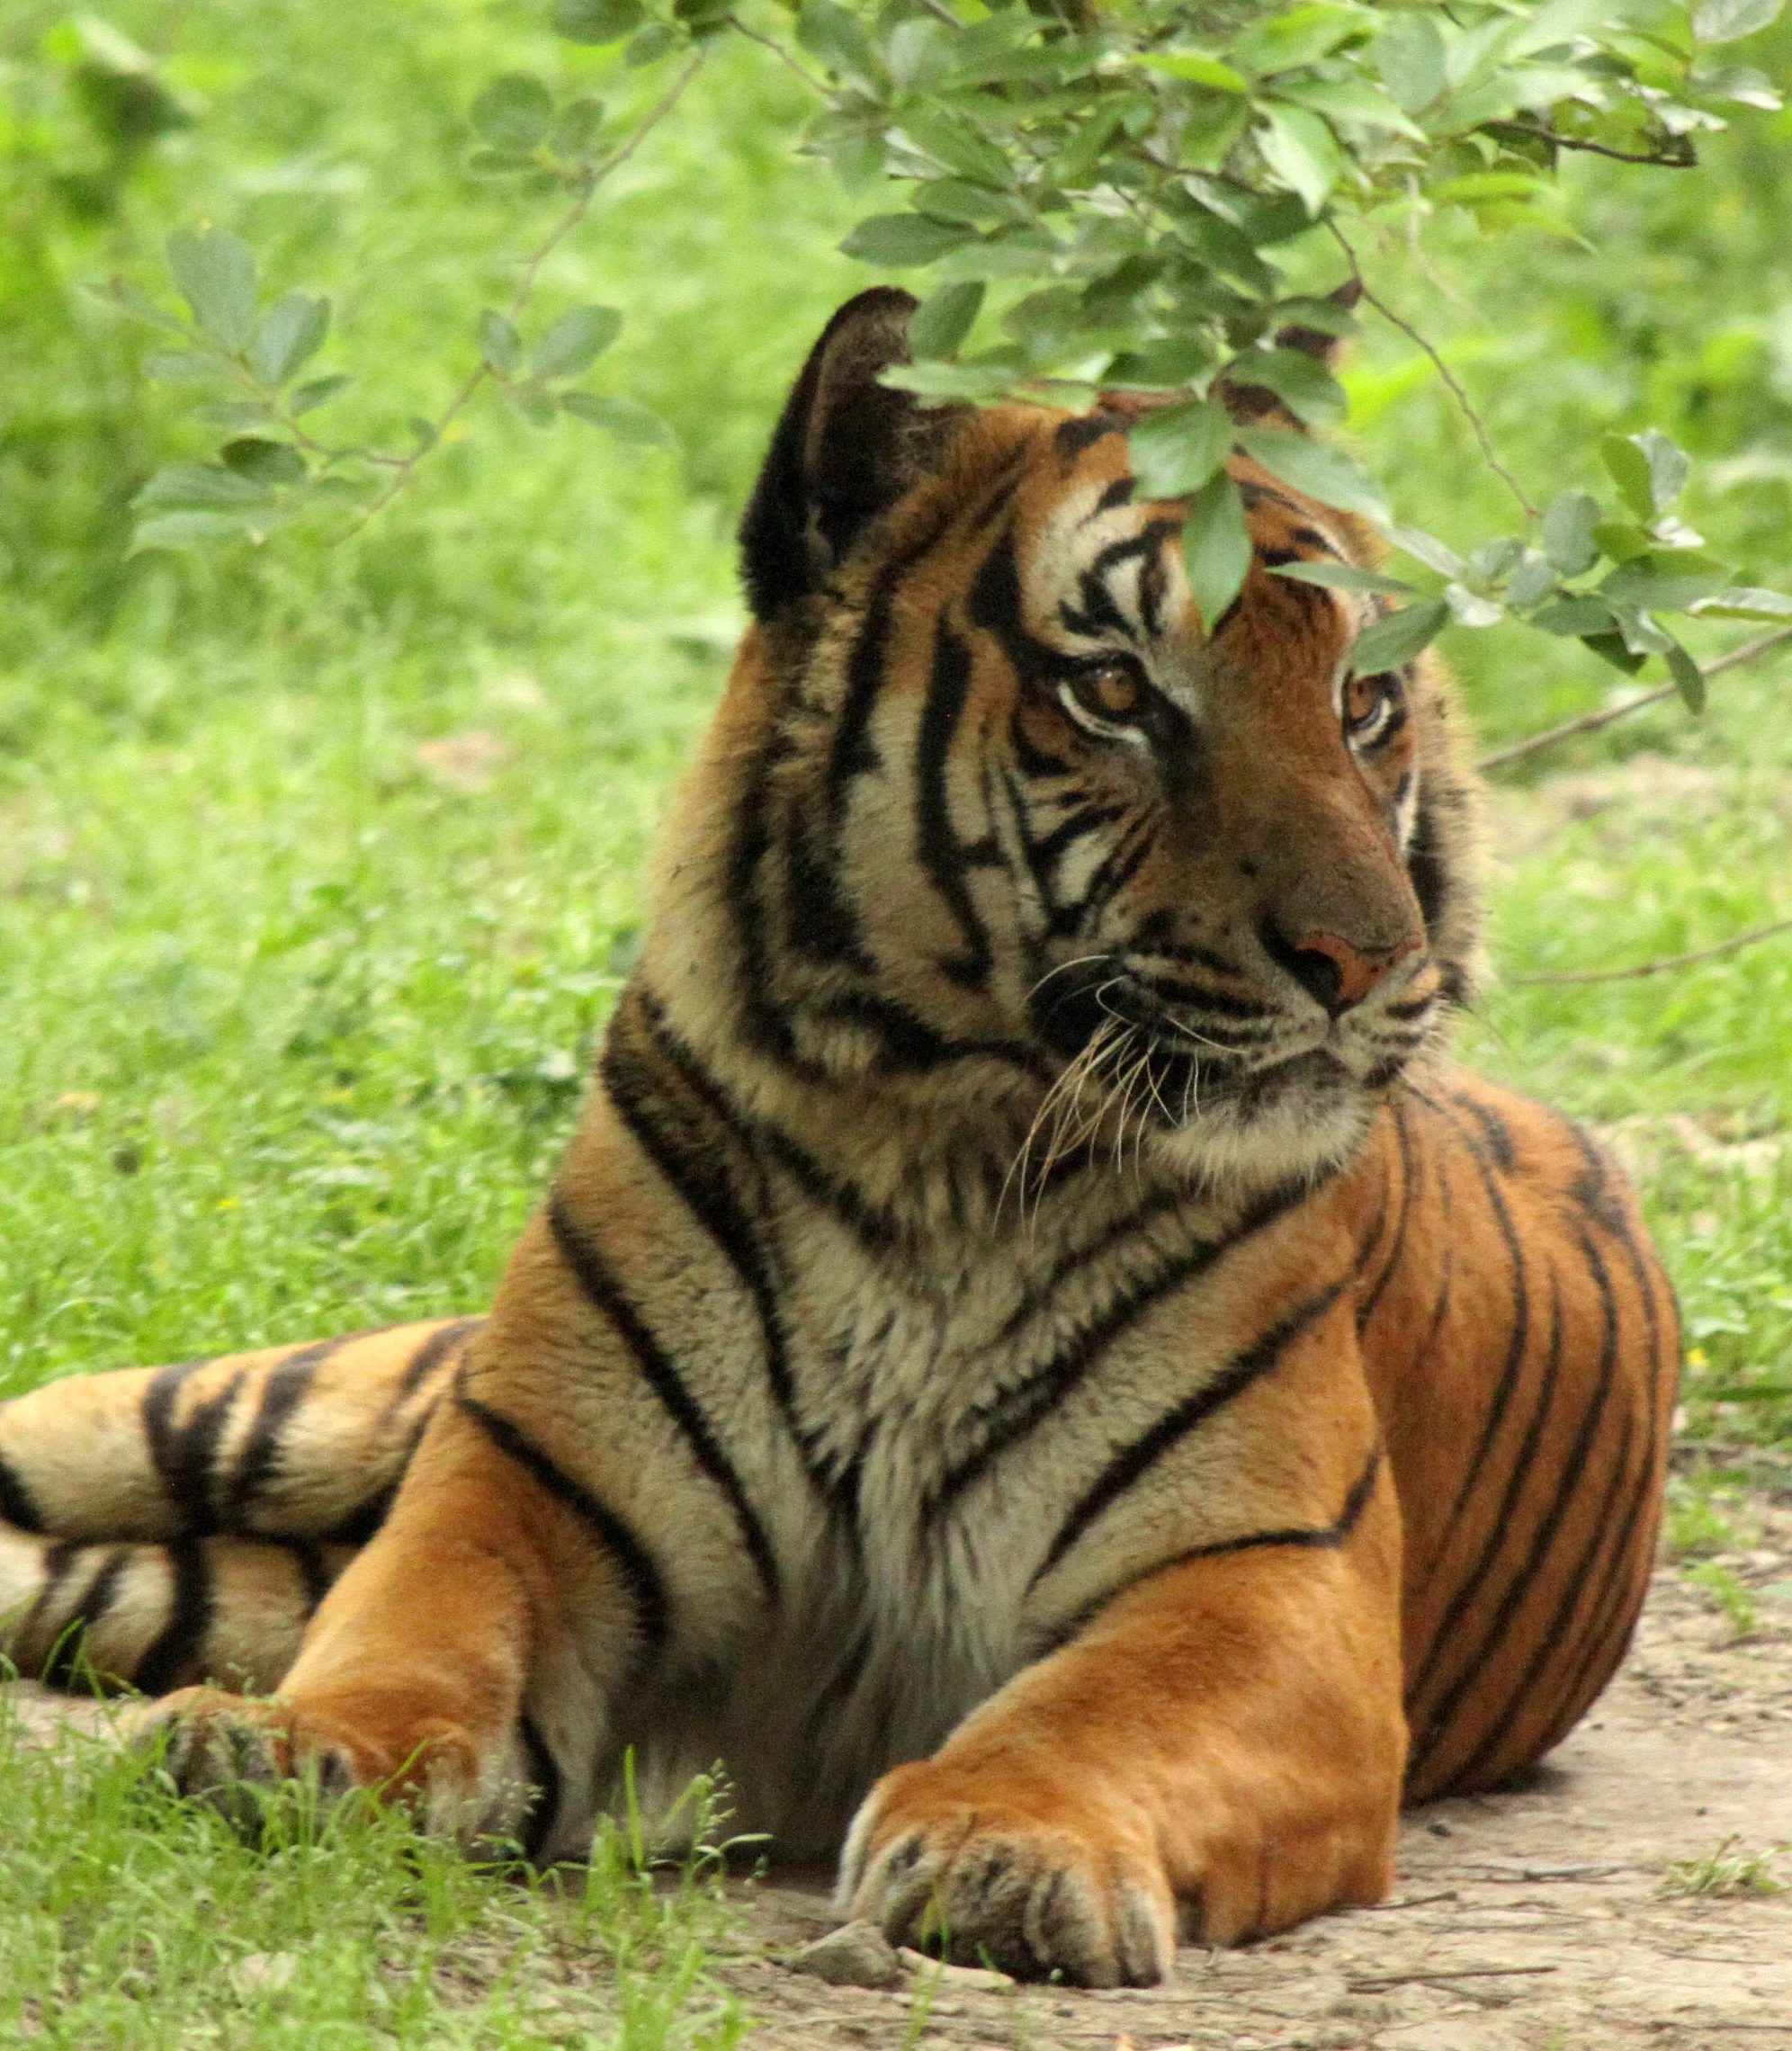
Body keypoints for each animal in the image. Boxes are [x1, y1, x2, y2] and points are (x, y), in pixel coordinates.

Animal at [0, 287, 1676, 1987]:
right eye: (1114, 694)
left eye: (1363, 702)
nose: (1371, 962)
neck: (937, 1147)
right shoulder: (523, 1478)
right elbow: (414, 1639)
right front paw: (288, 1750)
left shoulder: (1262, 1576)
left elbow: (1093, 1716)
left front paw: (1008, 1848)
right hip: (270, 1412)